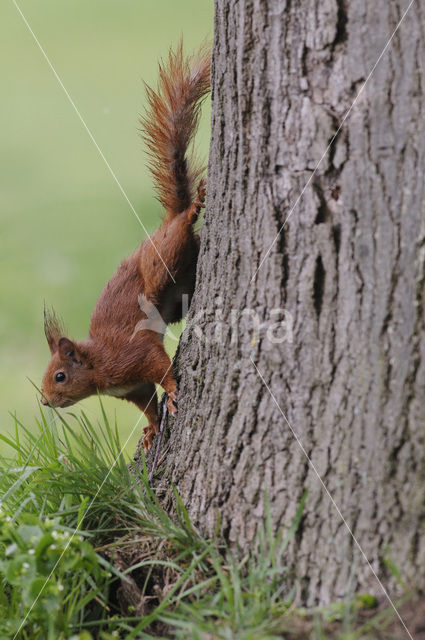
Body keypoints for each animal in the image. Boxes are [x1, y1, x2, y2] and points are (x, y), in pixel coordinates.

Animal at [40, 43, 210, 450]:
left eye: (60, 376)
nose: (45, 401)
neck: (100, 365)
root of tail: (166, 222)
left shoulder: (135, 354)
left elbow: (160, 367)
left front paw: (174, 392)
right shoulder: (133, 388)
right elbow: (147, 403)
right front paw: (150, 429)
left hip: (164, 260)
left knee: (183, 229)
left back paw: (192, 208)